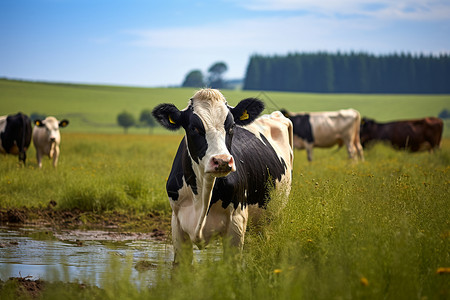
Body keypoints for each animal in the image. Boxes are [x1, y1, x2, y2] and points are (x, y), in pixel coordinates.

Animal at [151, 88, 294, 262]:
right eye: (194, 128)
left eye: (231, 126)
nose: (222, 161)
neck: (202, 196)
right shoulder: (177, 223)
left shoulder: (237, 222)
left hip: (275, 213)